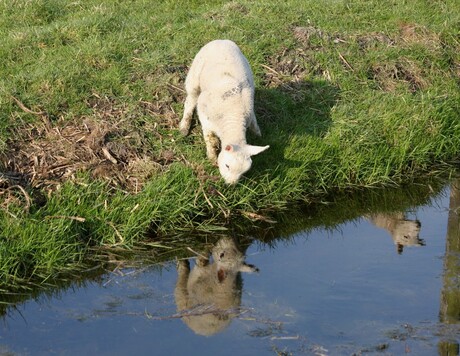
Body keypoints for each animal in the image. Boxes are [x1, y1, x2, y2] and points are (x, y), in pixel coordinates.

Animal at [178, 39, 268, 184]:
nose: (231, 184)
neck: (234, 117)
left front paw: (258, 133)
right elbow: (210, 139)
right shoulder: (205, 116)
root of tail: (221, 40)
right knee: (190, 100)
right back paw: (184, 126)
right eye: (227, 166)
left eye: (245, 171)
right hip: (194, 76)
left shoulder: (249, 112)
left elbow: (254, 123)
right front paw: (212, 156)